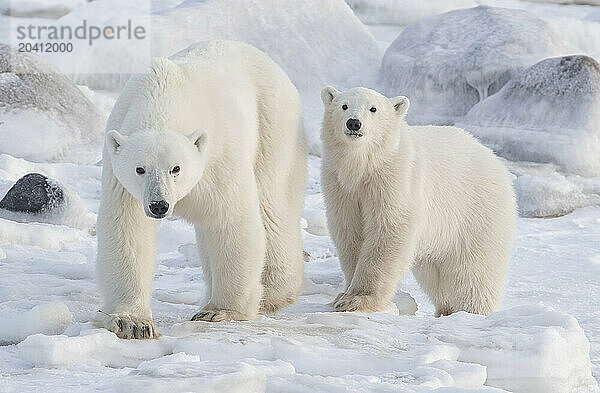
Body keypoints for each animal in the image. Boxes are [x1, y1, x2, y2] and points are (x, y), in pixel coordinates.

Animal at [97, 41, 310, 338]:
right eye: (140, 169)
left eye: (176, 168)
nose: (159, 205)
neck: (164, 94)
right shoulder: (123, 180)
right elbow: (128, 228)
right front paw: (133, 323)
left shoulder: (218, 158)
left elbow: (231, 220)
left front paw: (219, 311)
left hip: (273, 124)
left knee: (273, 204)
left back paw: (273, 292)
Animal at [318, 86, 516, 316]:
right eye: (344, 105)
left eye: (373, 109)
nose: (353, 123)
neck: (366, 166)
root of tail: (495, 160)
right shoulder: (341, 186)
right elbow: (351, 232)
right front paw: (345, 293)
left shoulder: (395, 179)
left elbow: (388, 230)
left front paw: (356, 299)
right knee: (435, 276)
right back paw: (445, 309)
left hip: (477, 213)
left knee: (474, 274)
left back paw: (472, 311)